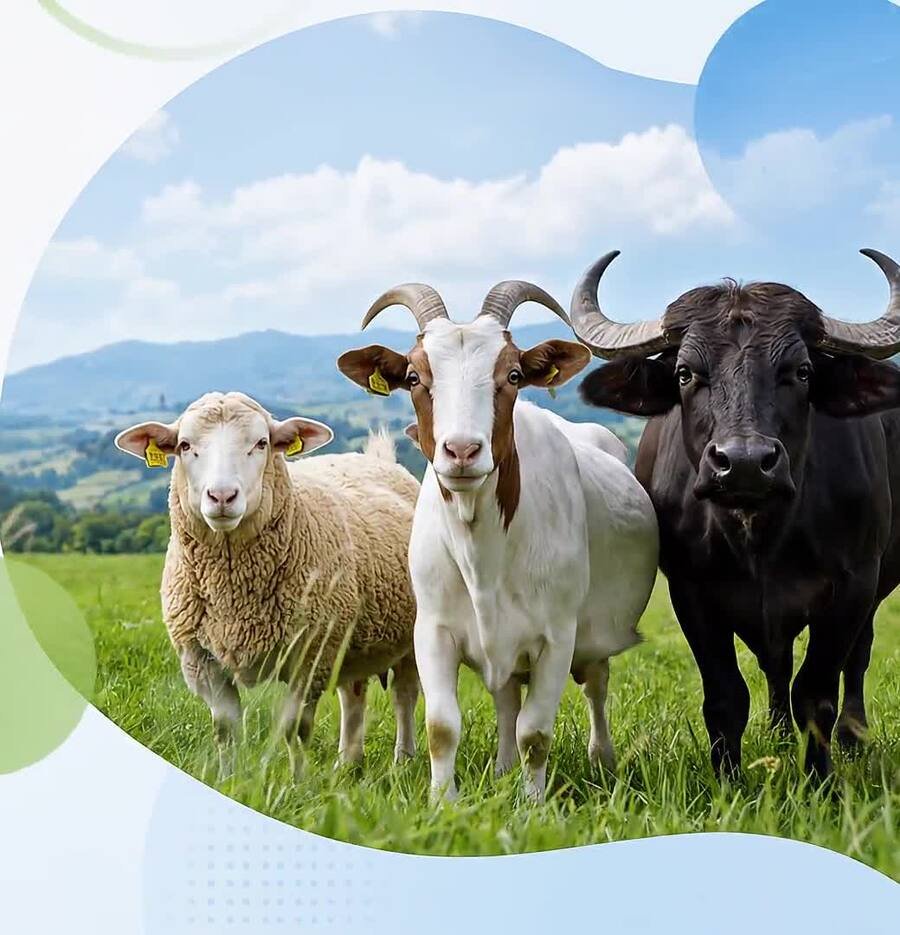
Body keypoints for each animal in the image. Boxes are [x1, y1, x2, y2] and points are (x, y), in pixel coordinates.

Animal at [115, 391, 419, 778]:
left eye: (261, 443)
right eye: (185, 445)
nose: (222, 496)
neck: (233, 592)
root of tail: (376, 460)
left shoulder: (310, 656)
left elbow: (294, 728)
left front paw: (298, 783)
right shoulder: (200, 660)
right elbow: (226, 728)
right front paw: (228, 780)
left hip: (408, 633)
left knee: (405, 695)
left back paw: (403, 761)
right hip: (349, 637)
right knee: (353, 693)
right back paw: (347, 764)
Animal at [572, 249, 900, 779]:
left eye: (801, 371)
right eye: (685, 373)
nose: (744, 462)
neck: (759, 537)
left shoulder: (854, 585)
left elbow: (817, 692)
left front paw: (820, 779)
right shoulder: (690, 592)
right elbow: (726, 696)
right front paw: (728, 777)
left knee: (855, 658)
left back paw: (853, 737)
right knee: (777, 664)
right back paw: (779, 732)